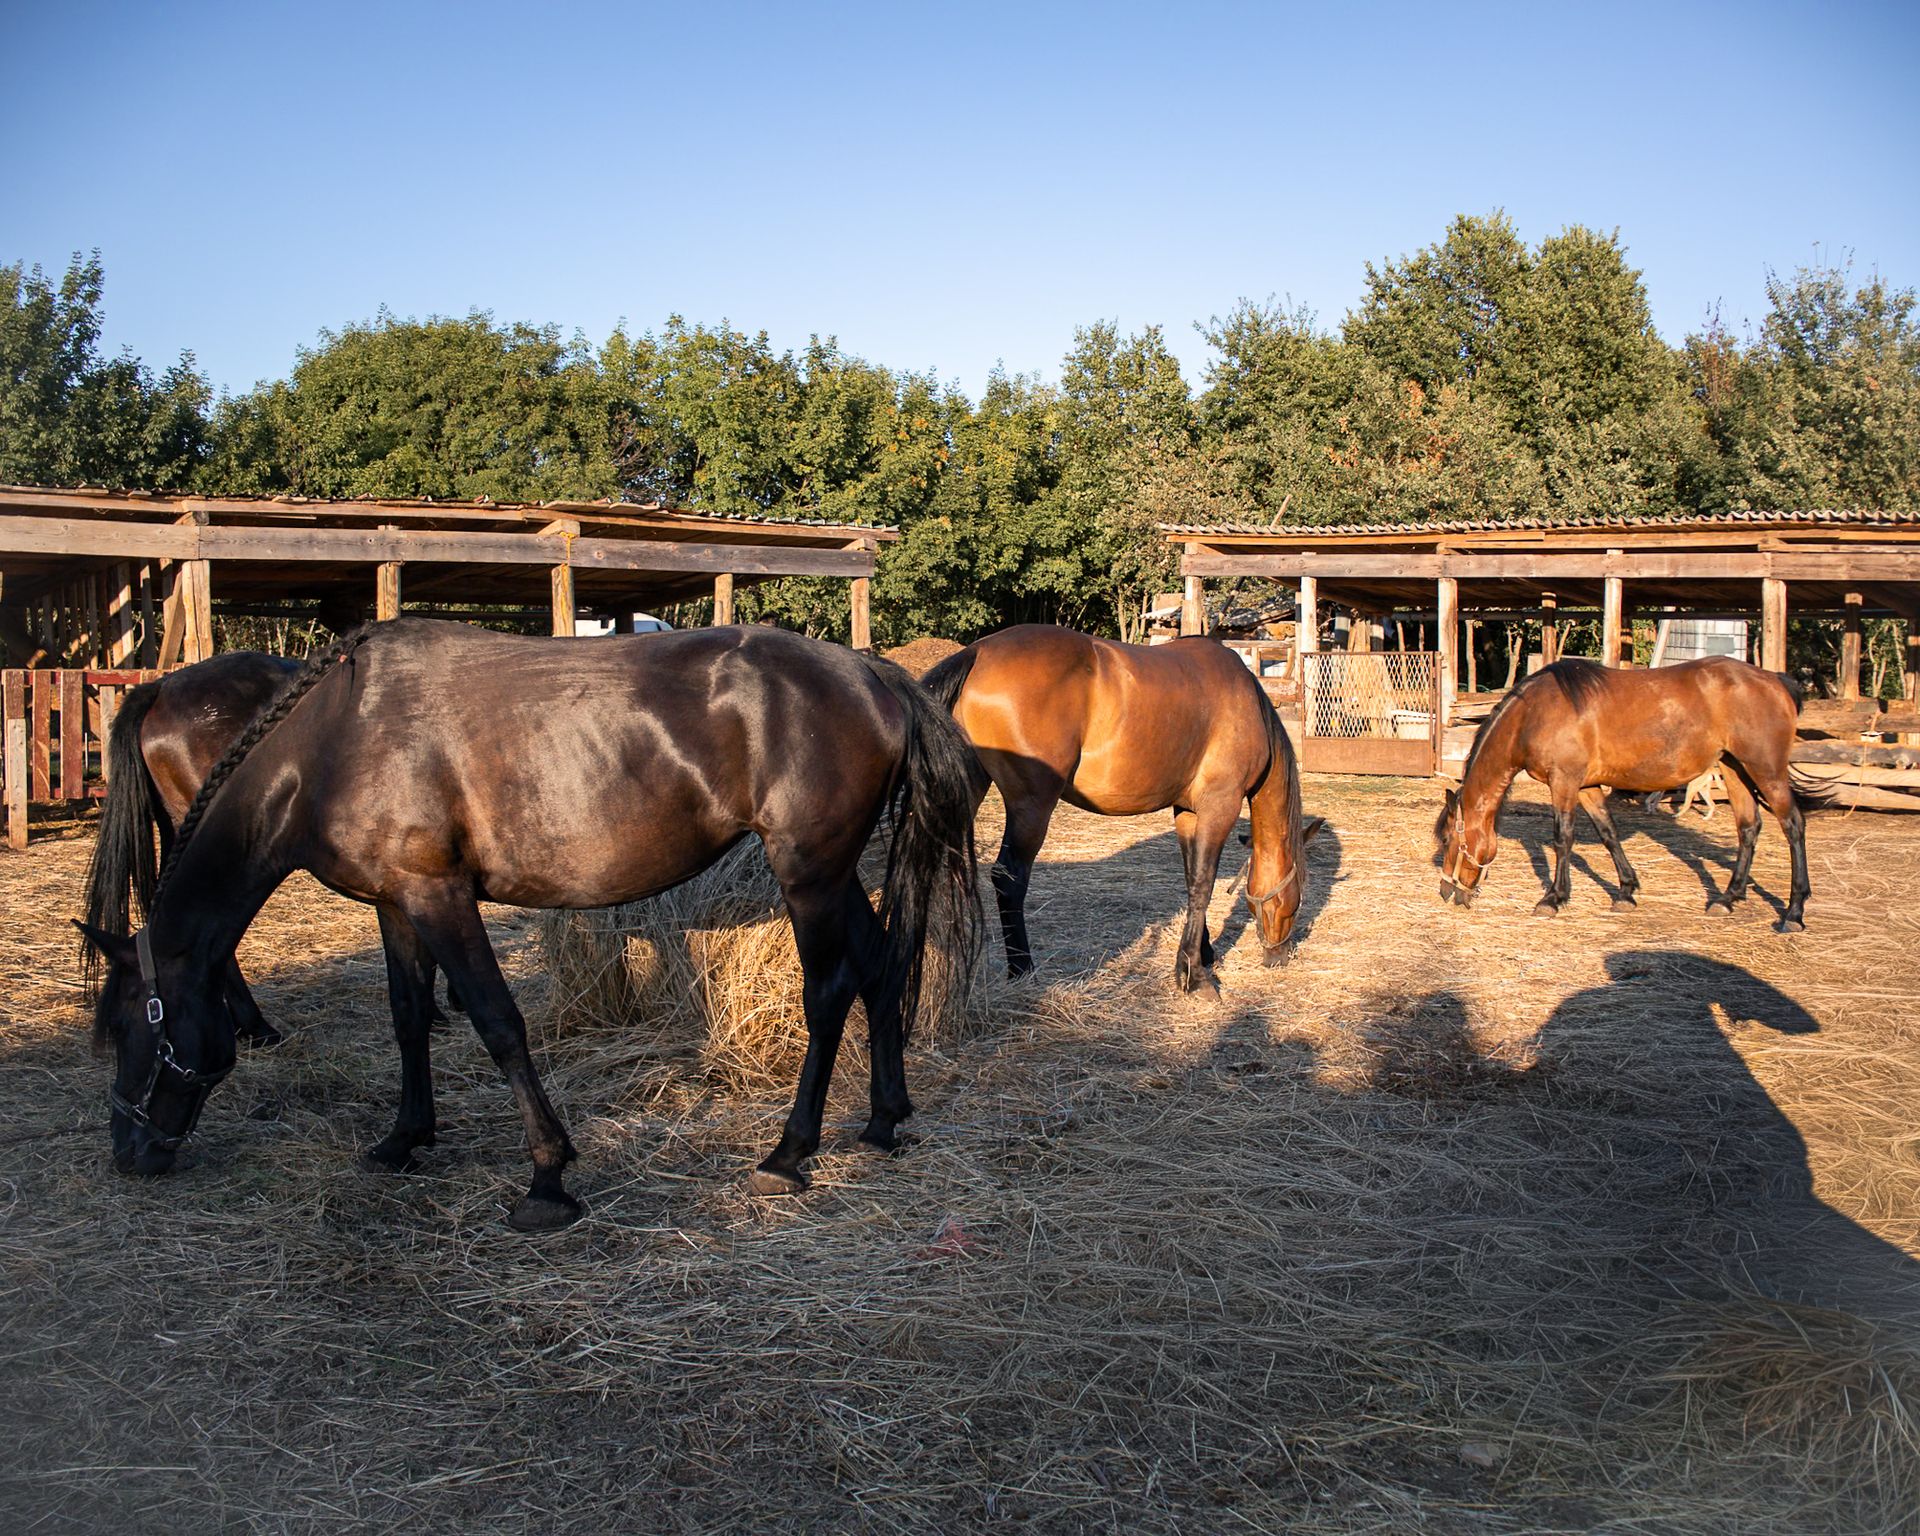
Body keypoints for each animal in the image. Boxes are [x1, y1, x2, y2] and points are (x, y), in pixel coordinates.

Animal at [74, 618, 982, 1229]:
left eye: (135, 1029)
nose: (128, 1155)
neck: (335, 742)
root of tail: (874, 675)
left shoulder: (441, 898)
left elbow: (498, 1022)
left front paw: (547, 1177)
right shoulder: (397, 903)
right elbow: (410, 1017)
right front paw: (404, 1139)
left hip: (808, 873)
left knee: (829, 991)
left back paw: (789, 1155)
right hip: (830, 875)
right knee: (881, 966)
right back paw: (883, 1121)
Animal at [922, 625, 1320, 991]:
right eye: (1297, 899)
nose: (1280, 956)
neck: (1246, 701)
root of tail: (977, 652)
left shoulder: (1187, 813)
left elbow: (1192, 880)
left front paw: (1200, 954)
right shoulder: (1219, 807)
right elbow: (1203, 884)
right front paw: (1194, 976)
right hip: (1031, 805)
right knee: (1009, 878)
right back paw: (1022, 969)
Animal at [1435, 657, 1810, 931]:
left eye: (1450, 841)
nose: (1446, 892)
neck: (1532, 713)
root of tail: (1776, 680)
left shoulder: (1564, 782)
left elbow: (1563, 839)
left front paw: (1553, 898)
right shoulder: (1586, 787)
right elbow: (1608, 833)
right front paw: (1626, 891)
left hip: (1766, 770)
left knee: (1793, 826)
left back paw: (1794, 911)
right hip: (1735, 768)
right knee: (1748, 828)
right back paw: (1728, 898)